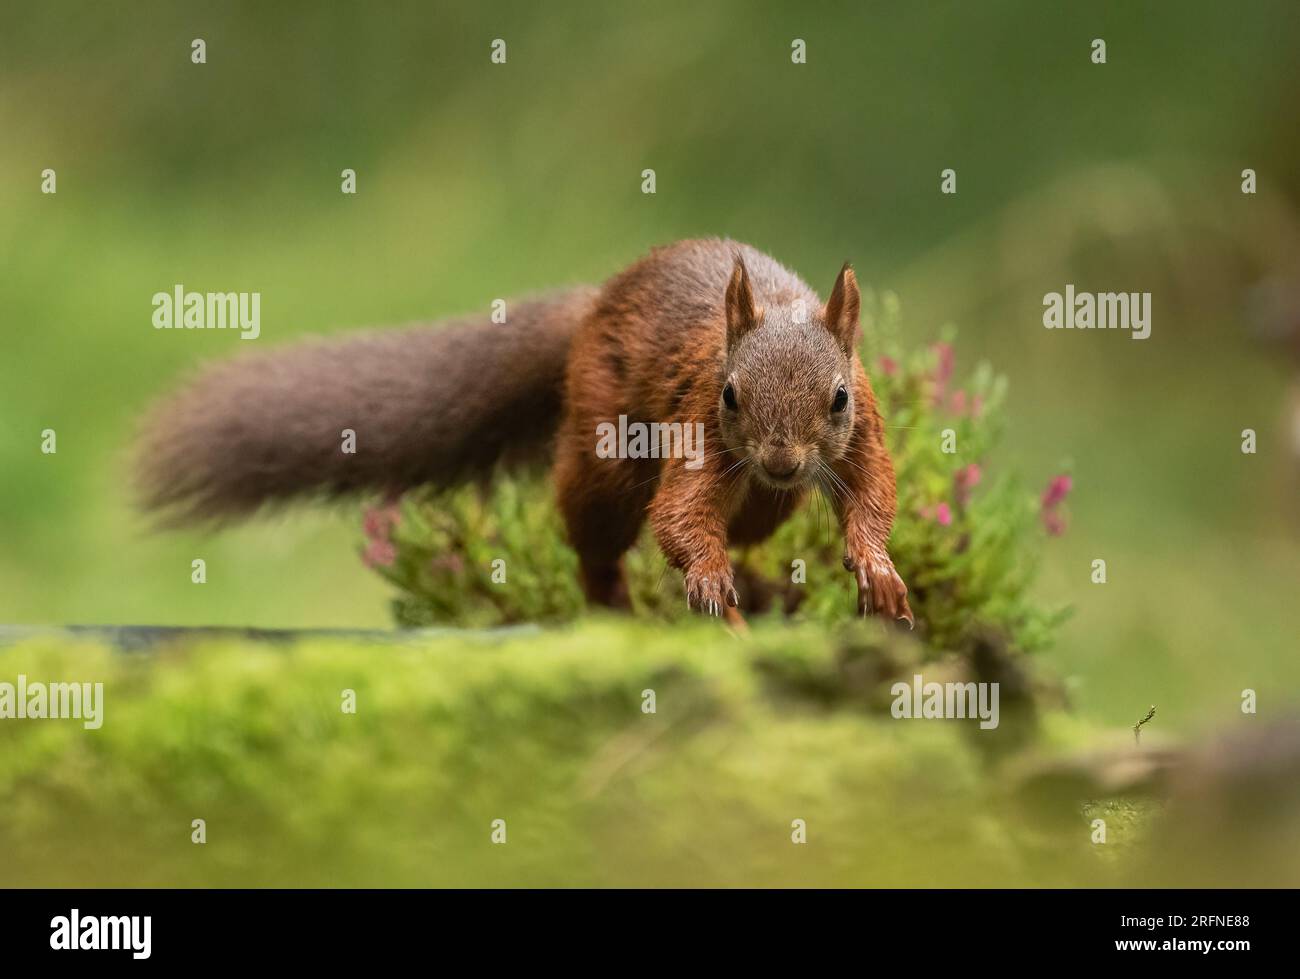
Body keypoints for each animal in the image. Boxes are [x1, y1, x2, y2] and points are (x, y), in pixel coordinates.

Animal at [137, 237, 909, 621]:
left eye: (838, 397)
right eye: (729, 393)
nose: (780, 460)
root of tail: (592, 308)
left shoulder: (864, 431)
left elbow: (873, 496)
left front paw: (877, 568)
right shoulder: (698, 427)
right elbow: (679, 515)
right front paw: (710, 581)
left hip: (768, 505)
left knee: (753, 524)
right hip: (606, 456)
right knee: (597, 537)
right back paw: (615, 602)